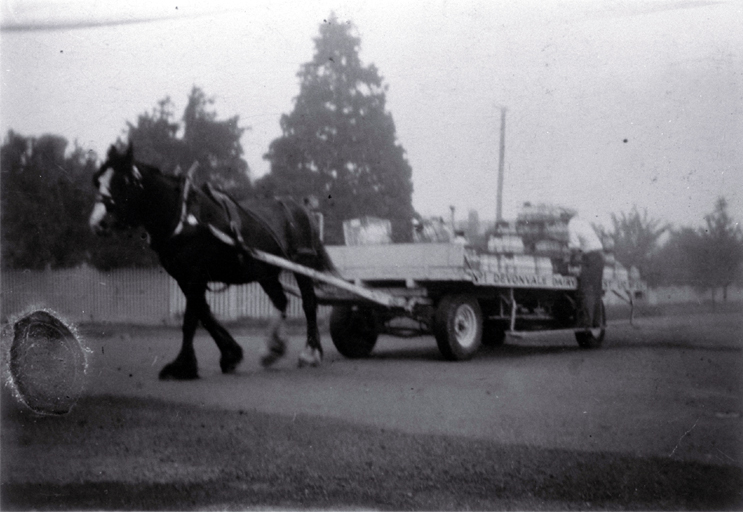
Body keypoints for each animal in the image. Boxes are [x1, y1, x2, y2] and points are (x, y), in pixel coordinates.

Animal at [88, 144, 336, 380]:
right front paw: (230, 354)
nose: (98, 222)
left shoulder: (196, 274)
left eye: (123, 181)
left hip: (302, 262)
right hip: (265, 272)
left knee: (309, 303)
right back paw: (272, 349)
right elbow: (204, 315)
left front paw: (183, 366)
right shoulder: (183, 277)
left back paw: (310, 352)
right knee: (281, 300)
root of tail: (300, 208)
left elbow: (191, 319)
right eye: (98, 180)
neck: (185, 219)